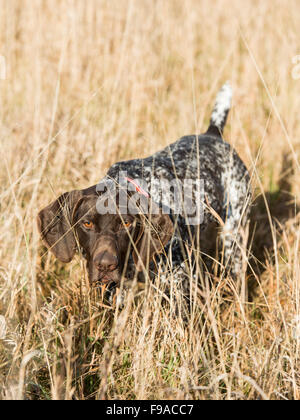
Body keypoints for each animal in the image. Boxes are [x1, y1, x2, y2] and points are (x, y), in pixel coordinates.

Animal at [38, 83, 253, 290]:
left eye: (126, 223)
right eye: (87, 223)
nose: (105, 265)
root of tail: (212, 134)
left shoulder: (179, 280)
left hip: (234, 237)